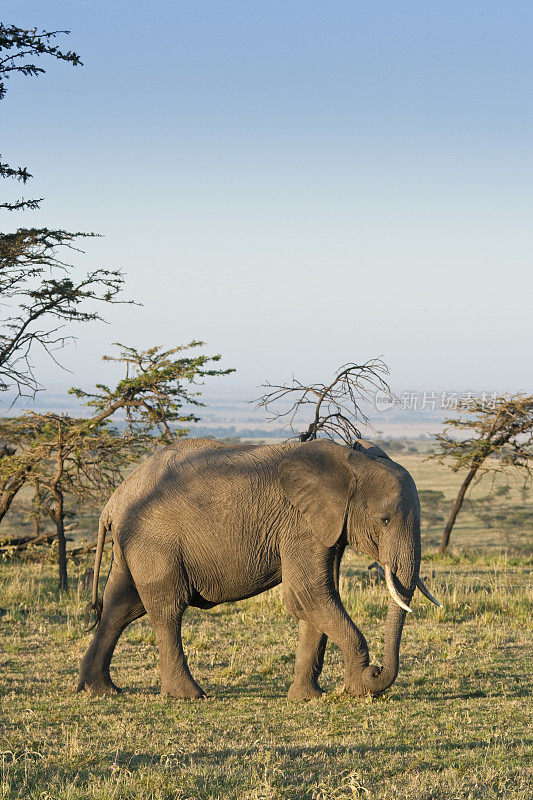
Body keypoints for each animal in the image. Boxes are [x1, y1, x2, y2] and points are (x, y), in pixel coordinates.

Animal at [77, 438, 438, 700]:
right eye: (385, 520)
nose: (375, 671)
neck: (350, 460)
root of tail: (112, 502)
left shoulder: (326, 529)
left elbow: (313, 600)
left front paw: (307, 698)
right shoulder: (300, 525)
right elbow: (312, 594)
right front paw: (358, 690)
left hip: (133, 543)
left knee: (120, 606)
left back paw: (101, 690)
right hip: (154, 541)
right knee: (167, 609)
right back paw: (189, 696)